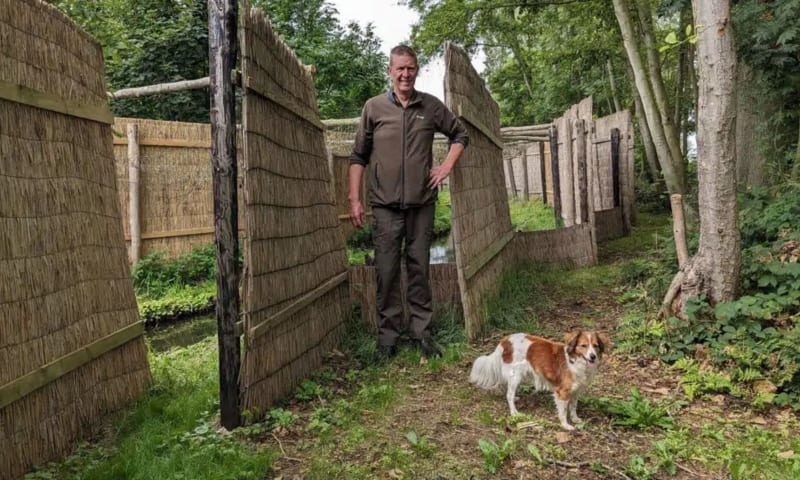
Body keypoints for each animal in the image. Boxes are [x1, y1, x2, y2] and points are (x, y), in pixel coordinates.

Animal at [466, 330, 608, 432]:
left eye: (595, 346)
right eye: (584, 346)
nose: (593, 356)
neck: (575, 361)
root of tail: (505, 340)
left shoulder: (576, 390)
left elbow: (573, 407)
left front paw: (575, 419)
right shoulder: (562, 392)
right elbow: (563, 411)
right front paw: (565, 425)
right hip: (515, 375)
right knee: (509, 395)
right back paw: (514, 412)